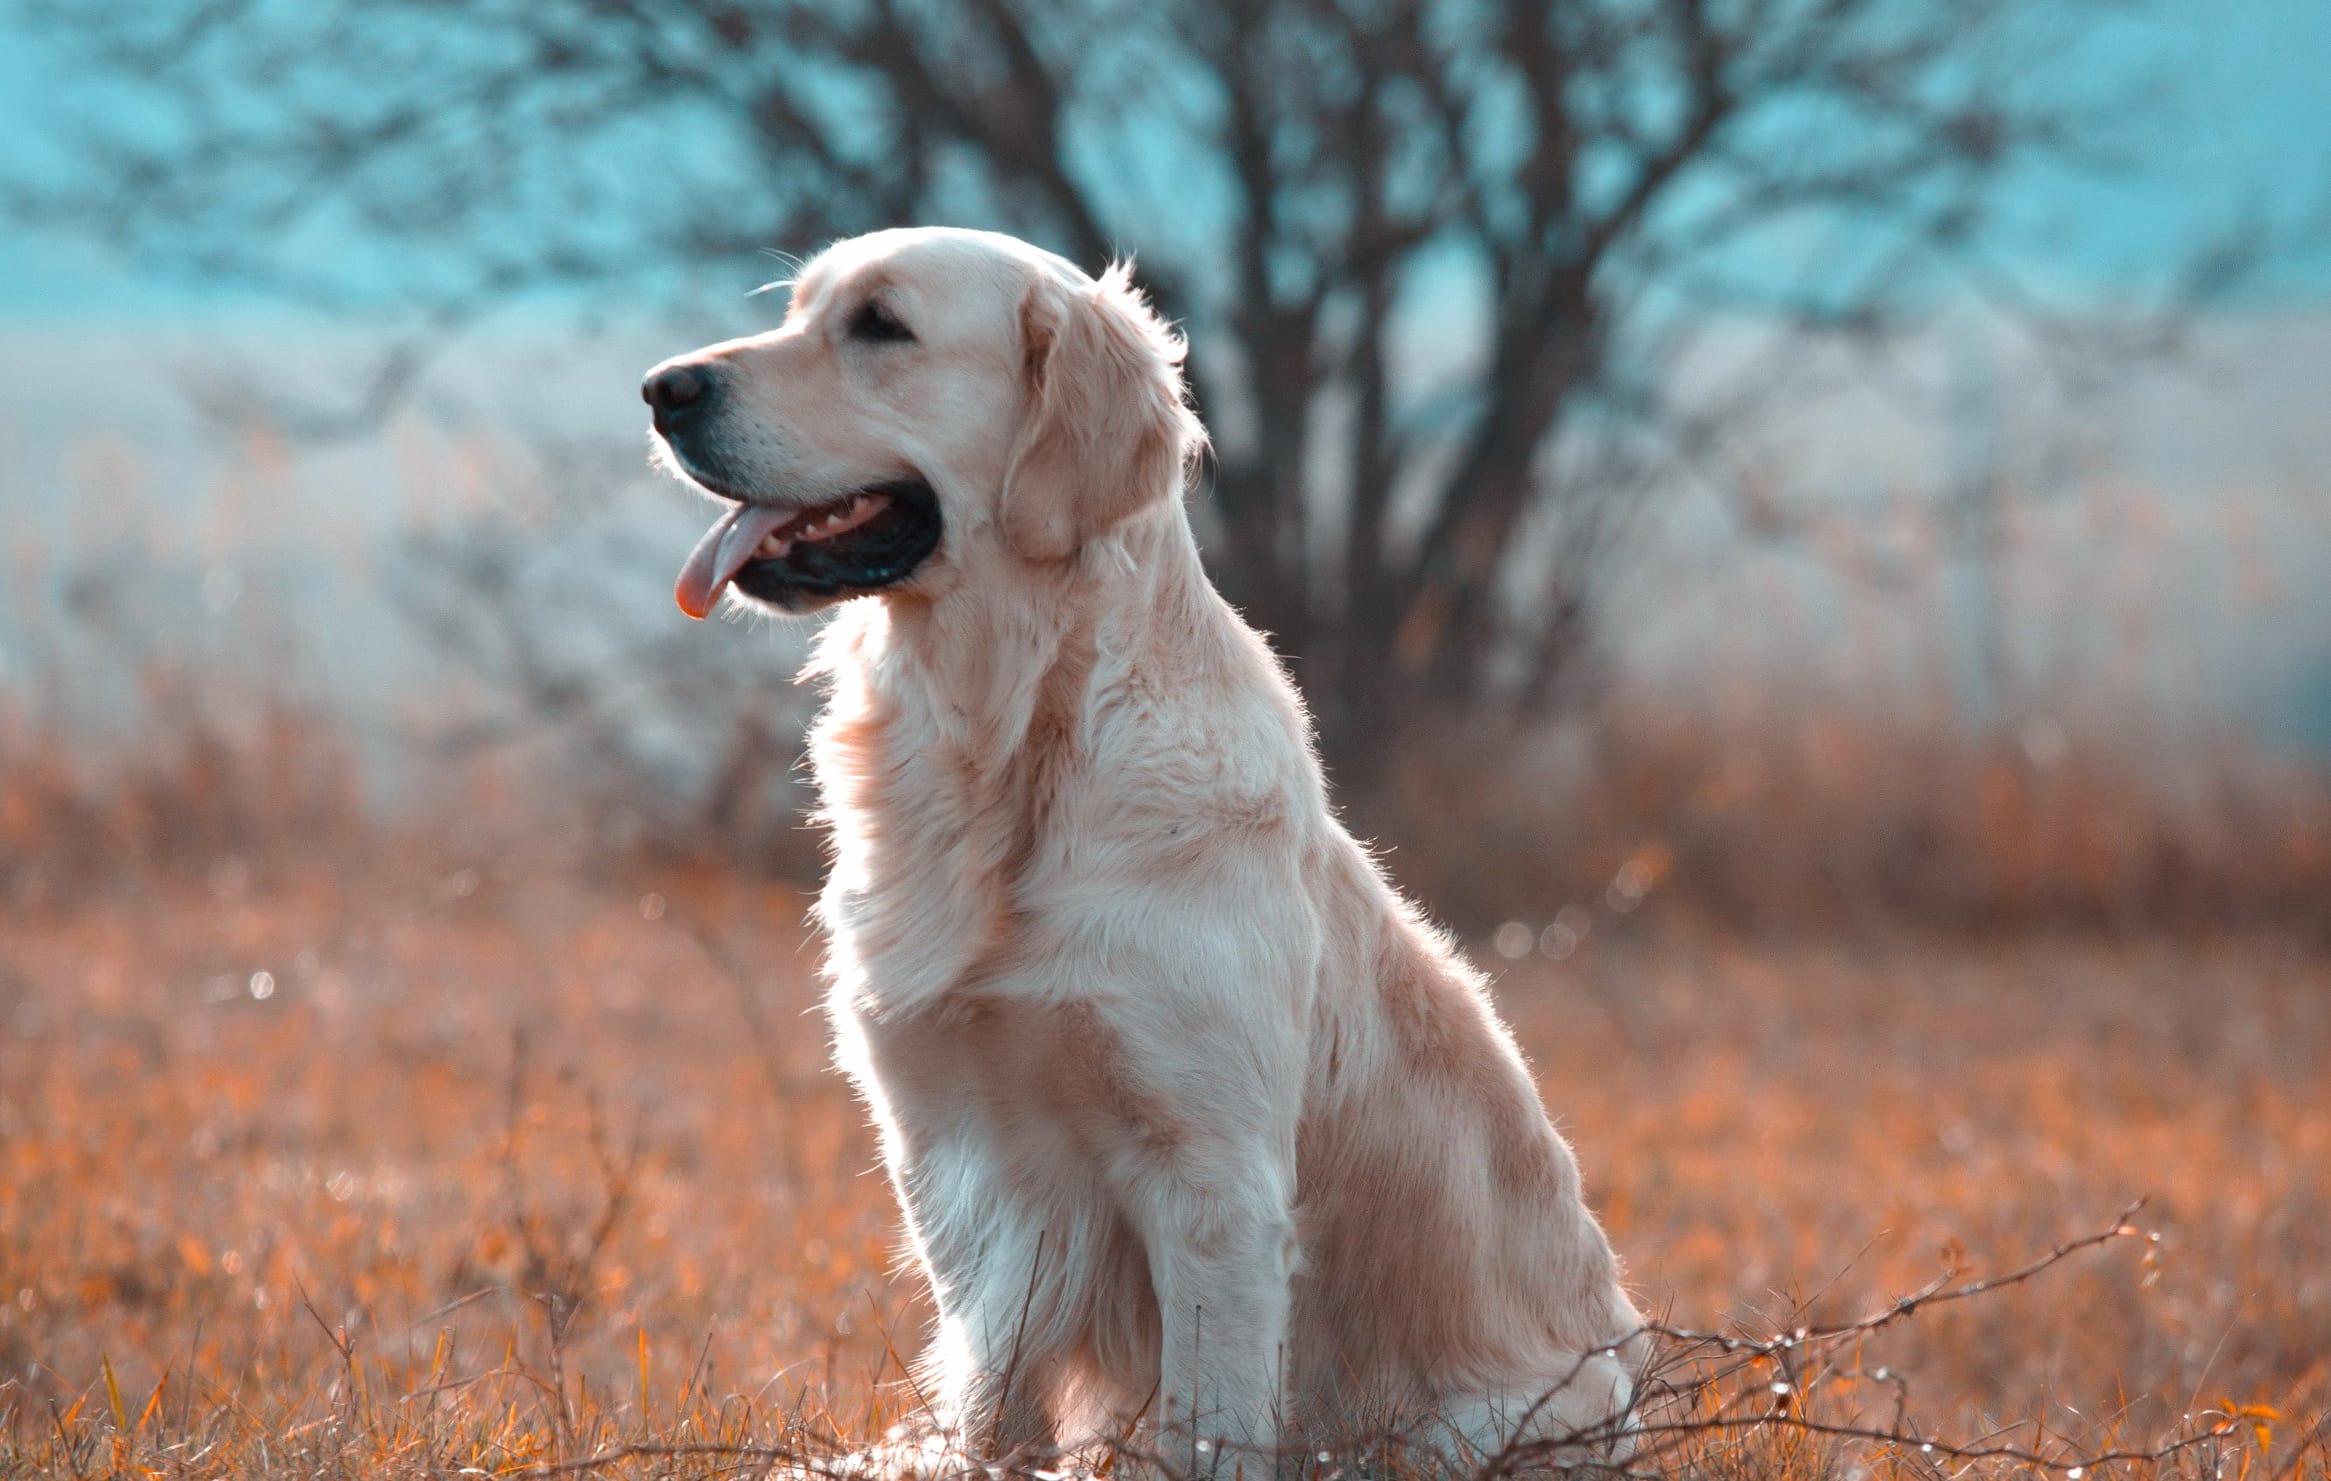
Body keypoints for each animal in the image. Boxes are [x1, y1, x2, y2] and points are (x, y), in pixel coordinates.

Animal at [648, 226, 1650, 1464]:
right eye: (796, 310)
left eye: (881, 325)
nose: (662, 389)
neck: (1013, 751)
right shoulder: (949, 1155)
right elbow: (995, 1403)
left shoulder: (1211, 1174)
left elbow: (1209, 1422)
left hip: (1473, 1424)